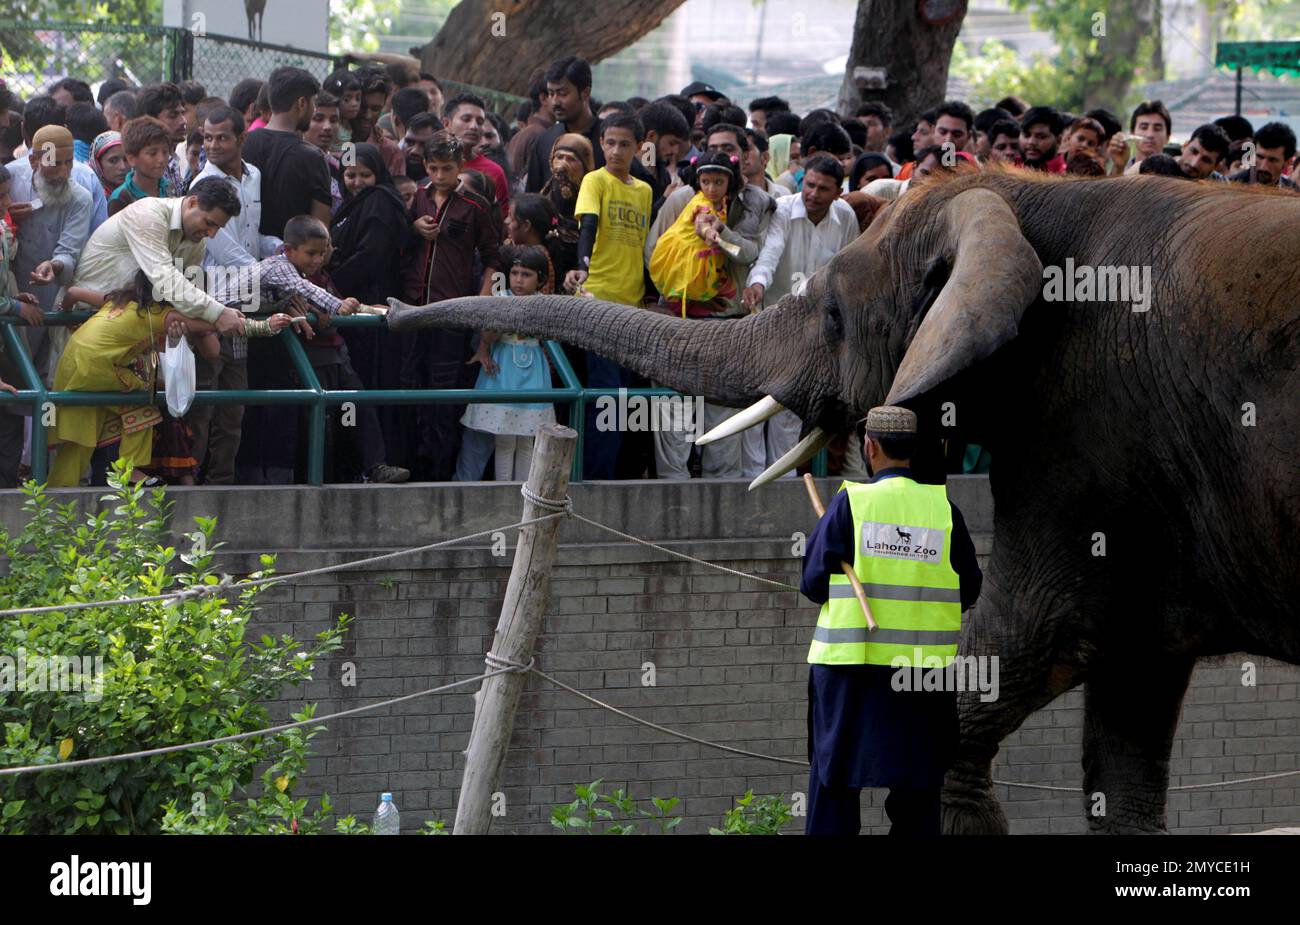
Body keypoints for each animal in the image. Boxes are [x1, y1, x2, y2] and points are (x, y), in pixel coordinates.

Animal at [384, 170, 1300, 836]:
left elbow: (1019, 644)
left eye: (830, 313)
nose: (391, 308)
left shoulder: (1086, 448)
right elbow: (1127, 724)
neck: (1032, 197)